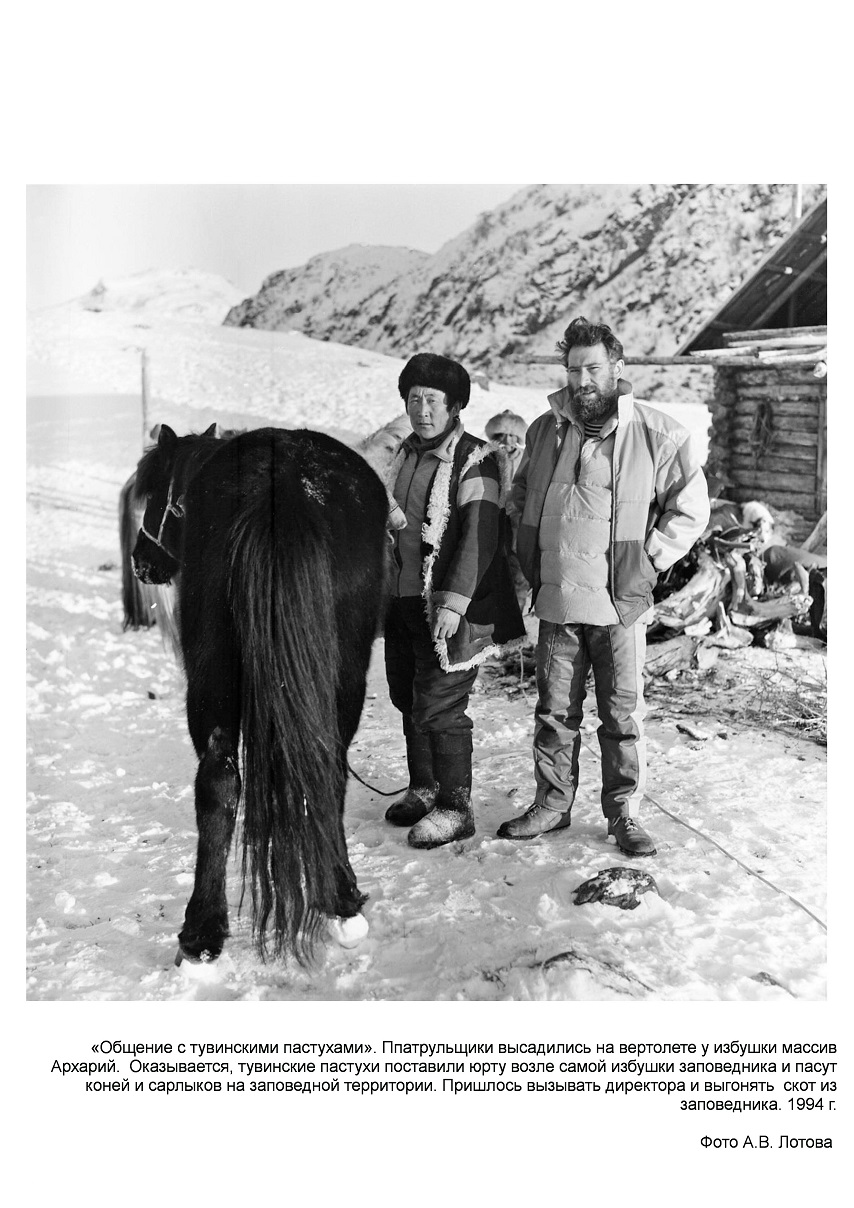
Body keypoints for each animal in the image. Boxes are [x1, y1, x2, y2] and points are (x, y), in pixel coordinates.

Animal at [131, 423, 389, 965]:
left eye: (155, 494)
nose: (141, 561)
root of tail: (285, 488)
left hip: (214, 677)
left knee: (224, 778)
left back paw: (204, 928)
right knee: (318, 770)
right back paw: (336, 900)